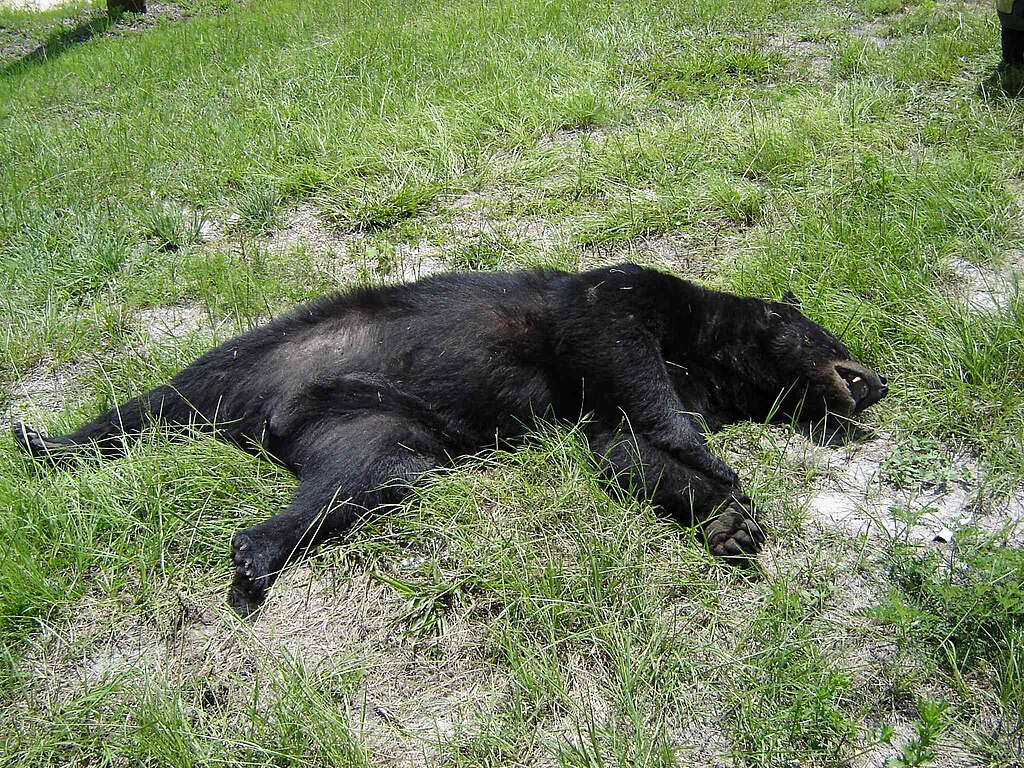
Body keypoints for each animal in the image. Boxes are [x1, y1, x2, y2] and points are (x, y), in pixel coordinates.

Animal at [13, 264, 888, 617]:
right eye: (833, 335)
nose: (879, 379)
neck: (711, 359)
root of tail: (272, 417)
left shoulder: (639, 396)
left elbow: (620, 444)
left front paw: (724, 518)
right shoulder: (625, 302)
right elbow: (620, 344)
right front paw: (713, 463)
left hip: (380, 429)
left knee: (355, 479)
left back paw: (255, 555)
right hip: (245, 358)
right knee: (144, 409)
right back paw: (42, 440)